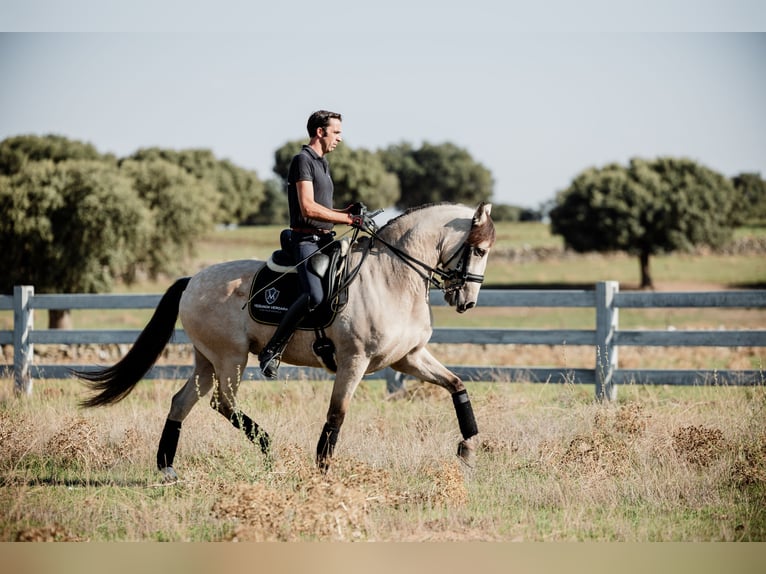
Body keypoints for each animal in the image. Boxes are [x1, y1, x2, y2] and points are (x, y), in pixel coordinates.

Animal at [78, 202, 498, 482]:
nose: (467, 301)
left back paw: (167, 468)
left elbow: (457, 385)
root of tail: (192, 281)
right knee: (222, 403)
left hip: (206, 360)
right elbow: (336, 415)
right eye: (478, 249)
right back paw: (268, 446)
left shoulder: (409, 357)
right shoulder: (354, 361)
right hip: (230, 358)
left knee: (182, 402)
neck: (392, 276)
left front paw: (468, 449)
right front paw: (322, 471)